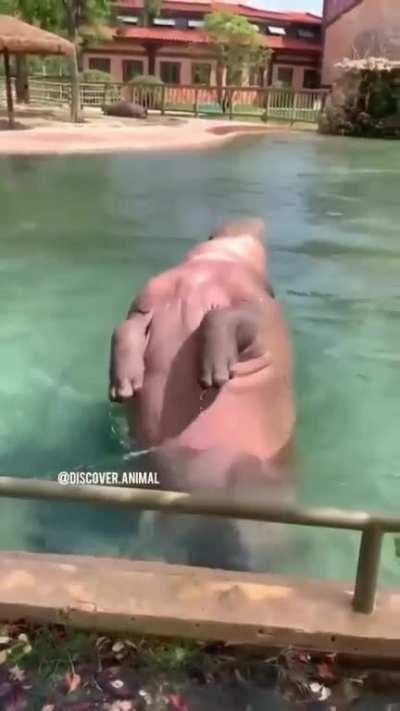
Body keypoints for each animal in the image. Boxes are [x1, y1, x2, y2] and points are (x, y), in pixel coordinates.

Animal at [109, 218, 295, 570]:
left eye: (272, 289)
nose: (250, 220)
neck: (212, 266)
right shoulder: (142, 307)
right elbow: (123, 331)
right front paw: (123, 386)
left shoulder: (252, 310)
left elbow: (223, 316)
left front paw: (212, 375)